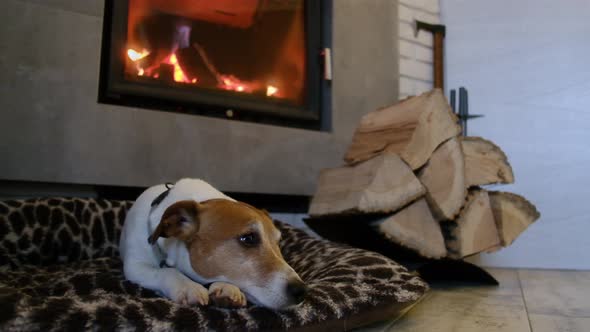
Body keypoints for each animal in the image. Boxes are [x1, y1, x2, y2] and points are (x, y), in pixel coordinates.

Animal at [118, 179, 308, 308]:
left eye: (278, 242)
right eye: (248, 238)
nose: (301, 291)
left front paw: (228, 288)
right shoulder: (136, 266)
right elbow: (165, 271)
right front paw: (187, 286)